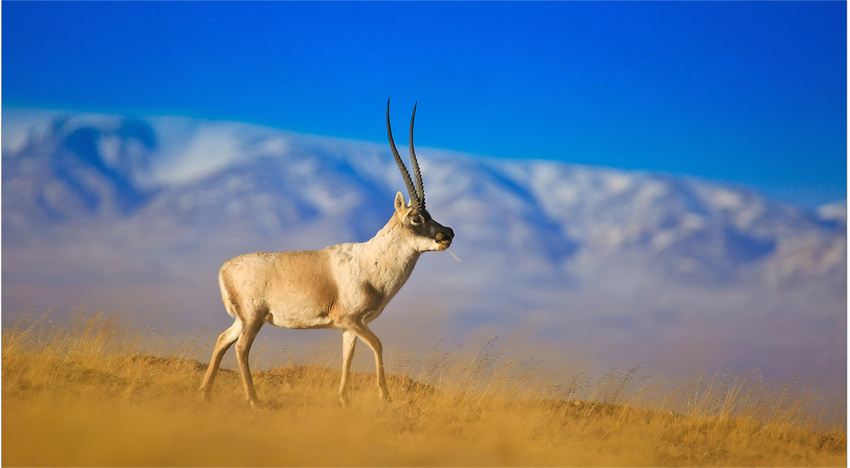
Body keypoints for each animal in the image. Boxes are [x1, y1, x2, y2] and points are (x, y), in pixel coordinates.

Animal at [199, 100, 454, 408]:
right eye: (416, 218)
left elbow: (348, 356)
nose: (448, 234)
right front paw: (385, 395)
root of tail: (224, 268)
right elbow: (378, 345)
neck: (369, 260)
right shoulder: (351, 319)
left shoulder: (350, 326)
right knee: (240, 348)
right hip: (254, 317)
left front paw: (343, 398)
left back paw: (205, 393)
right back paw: (254, 401)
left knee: (223, 340)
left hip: (242, 319)